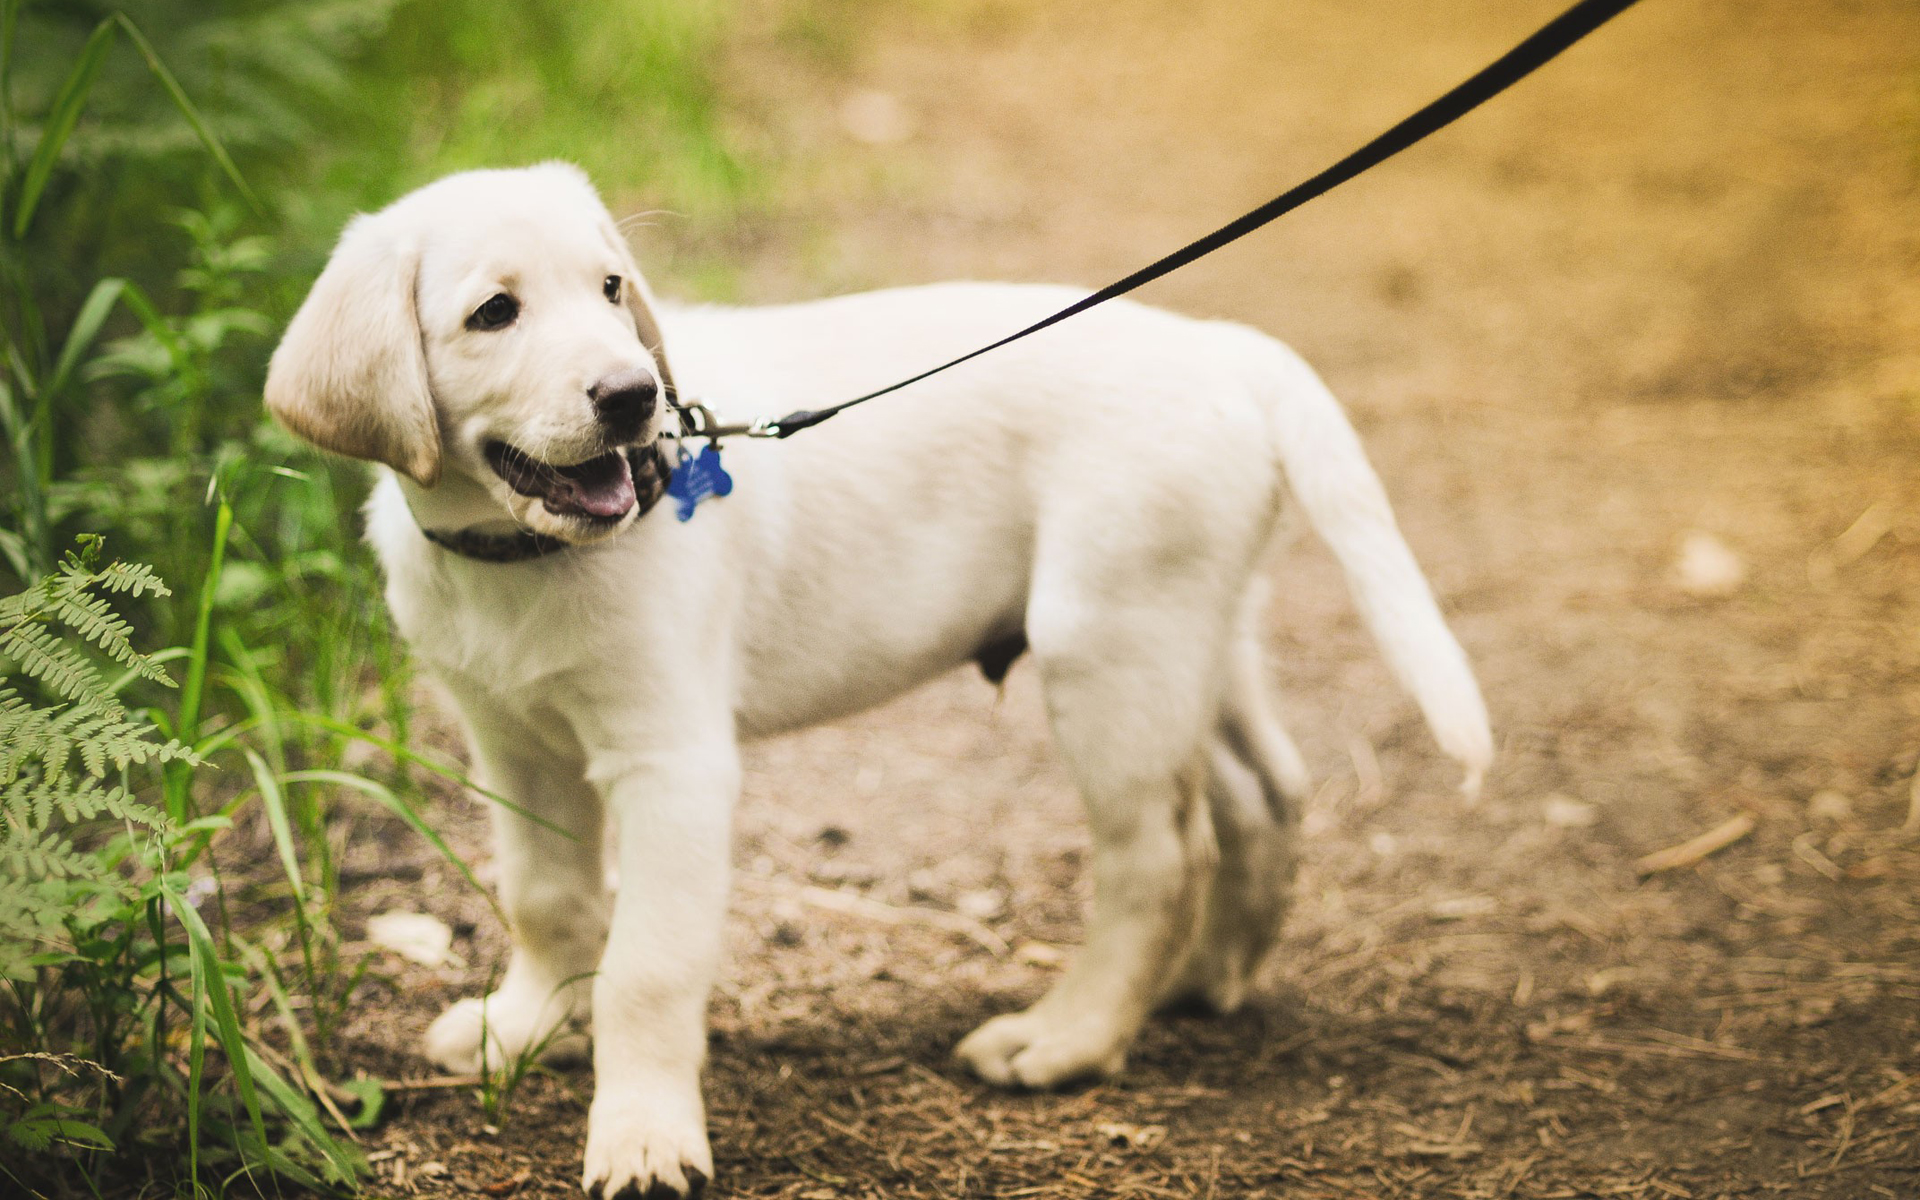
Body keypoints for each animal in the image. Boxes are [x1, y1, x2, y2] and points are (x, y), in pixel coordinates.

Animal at [263, 164, 1489, 1190]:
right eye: (494, 314)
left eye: (611, 289)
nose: (633, 396)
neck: (519, 558)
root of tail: (1221, 347)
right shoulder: (511, 741)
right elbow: (546, 898)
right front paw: (526, 1029)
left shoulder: (672, 763)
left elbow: (648, 964)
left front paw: (644, 1137)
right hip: (1194, 630)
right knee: (1262, 792)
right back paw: (1203, 980)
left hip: (1110, 646)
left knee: (1159, 853)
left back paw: (1070, 1038)